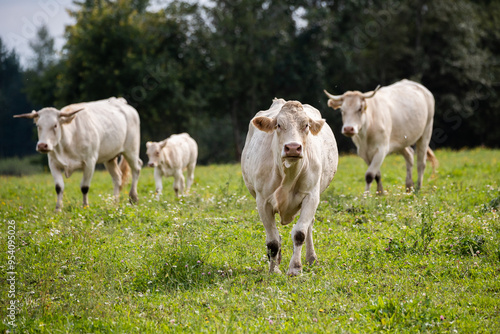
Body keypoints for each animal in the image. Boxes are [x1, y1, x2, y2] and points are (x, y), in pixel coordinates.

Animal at [13, 97, 142, 211]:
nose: (42, 145)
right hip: (109, 157)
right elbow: (59, 187)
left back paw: (133, 197)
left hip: (131, 150)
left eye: (55, 125)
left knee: (137, 168)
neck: (67, 144)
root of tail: (120, 102)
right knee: (117, 177)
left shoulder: (90, 162)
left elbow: (84, 187)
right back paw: (114, 202)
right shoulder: (53, 163)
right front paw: (58, 209)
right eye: (38, 126)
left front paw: (85, 207)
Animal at [241, 99, 338, 276]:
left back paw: (311, 258)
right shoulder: (262, 202)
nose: (293, 147)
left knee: (309, 228)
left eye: (306, 125)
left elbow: (300, 233)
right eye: (278, 125)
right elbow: (272, 241)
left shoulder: (311, 196)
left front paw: (295, 268)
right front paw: (274, 270)